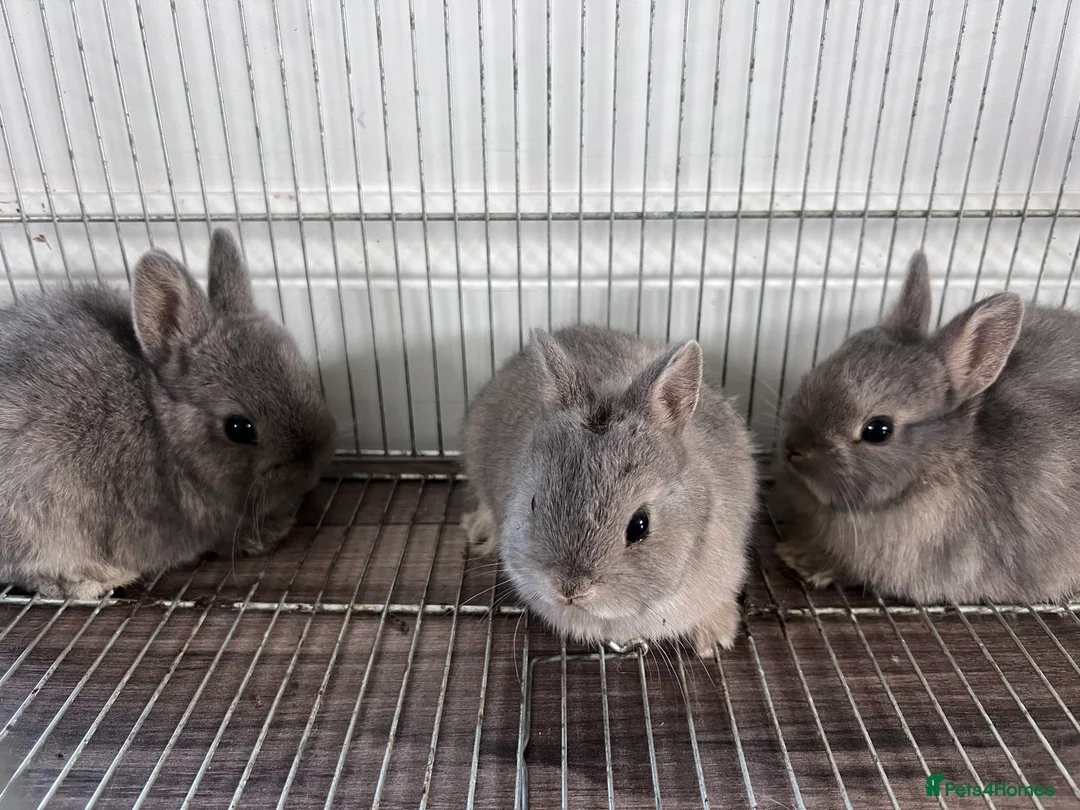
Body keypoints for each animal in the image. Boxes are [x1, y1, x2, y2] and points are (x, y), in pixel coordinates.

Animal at [0, 229, 336, 600]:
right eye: (239, 428)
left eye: (307, 379)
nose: (314, 462)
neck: (163, 426)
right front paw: (269, 532)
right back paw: (95, 580)